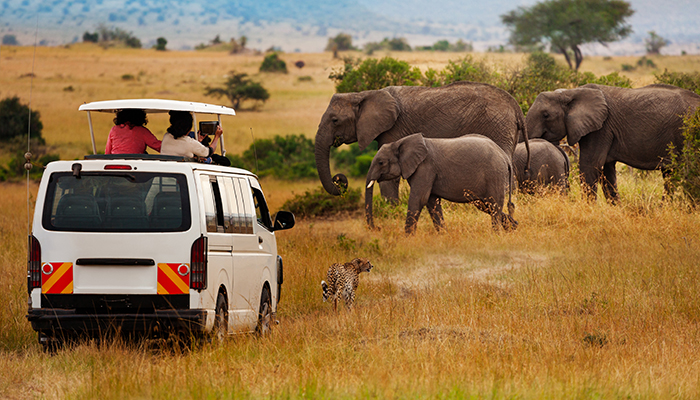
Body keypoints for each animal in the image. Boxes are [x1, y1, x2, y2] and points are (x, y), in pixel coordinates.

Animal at [314, 81, 530, 208]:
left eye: (334, 120)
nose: (339, 178)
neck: (363, 94)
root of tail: (516, 107)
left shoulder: (393, 129)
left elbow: (389, 177)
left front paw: (391, 211)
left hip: (497, 126)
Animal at [365, 133, 517, 234]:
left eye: (381, 163)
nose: (377, 228)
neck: (400, 142)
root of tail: (505, 156)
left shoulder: (425, 167)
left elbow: (419, 199)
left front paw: (407, 238)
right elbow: (431, 202)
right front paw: (443, 235)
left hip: (494, 175)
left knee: (493, 204)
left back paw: (497, 234)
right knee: (486, 205)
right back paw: (513, 227)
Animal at [526, 83, 700, 202]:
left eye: (546, 115)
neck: (571, 92)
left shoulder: (601, 129)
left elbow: (589, 166)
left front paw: (588, 209)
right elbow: (606, 171)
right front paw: (618, 209)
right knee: (670, 174)